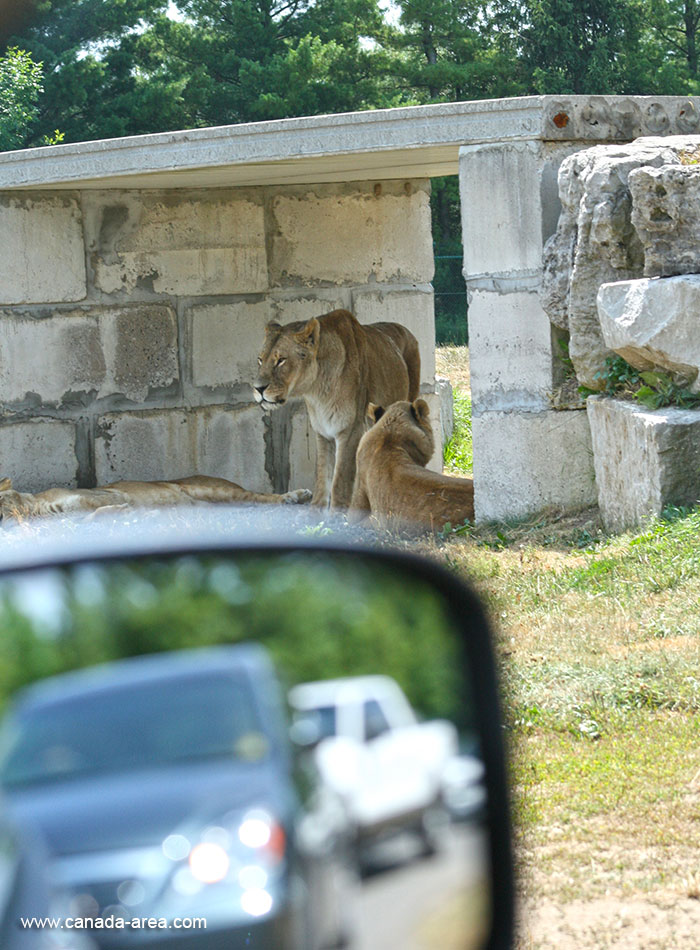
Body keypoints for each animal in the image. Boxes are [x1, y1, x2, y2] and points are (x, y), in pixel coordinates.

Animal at [258, 308, 422, 510]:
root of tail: (404, 328)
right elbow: (323, 477)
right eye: (260, 360)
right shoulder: (322, 432)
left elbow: (339, 481)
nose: (258, 388)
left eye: (281, 360)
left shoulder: (350, 430)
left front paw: (337, 513)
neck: (317, 390)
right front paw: (316, 511)